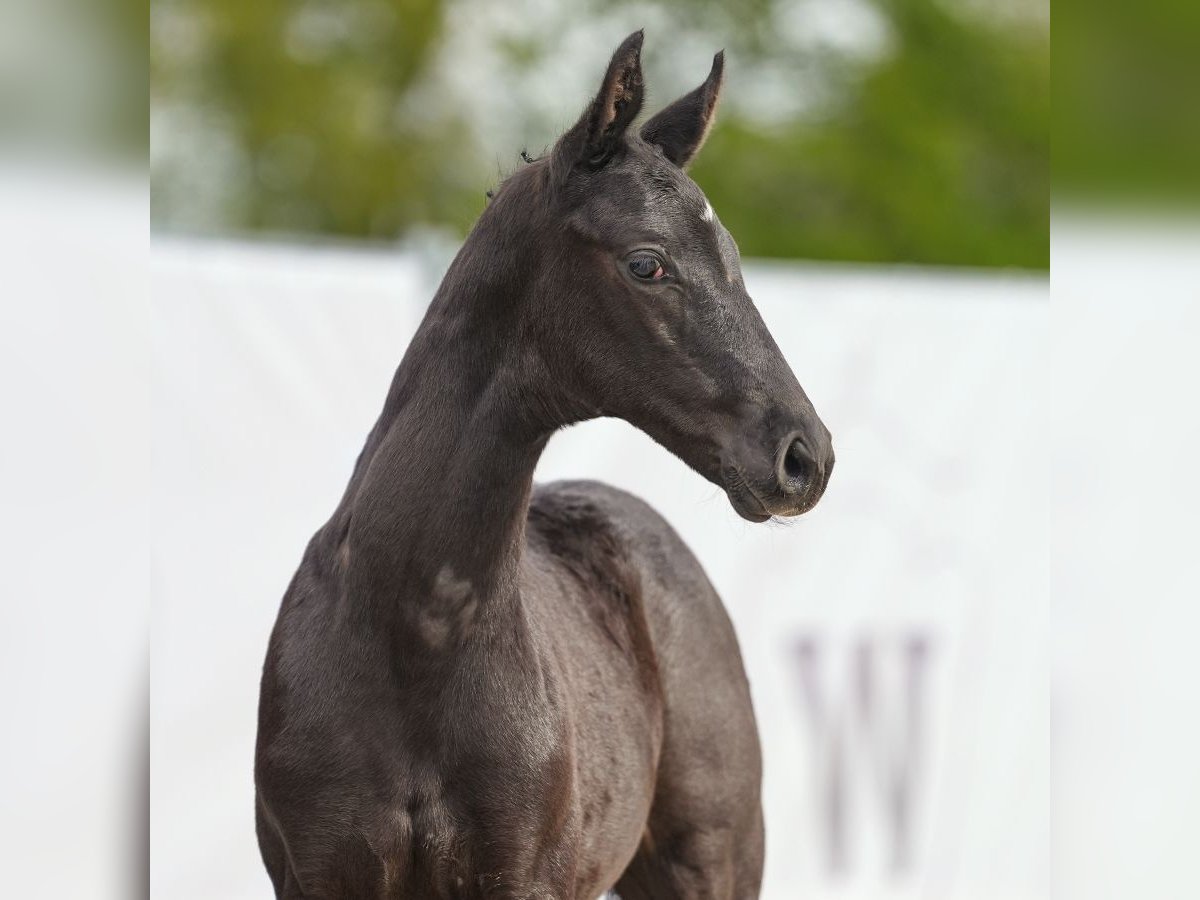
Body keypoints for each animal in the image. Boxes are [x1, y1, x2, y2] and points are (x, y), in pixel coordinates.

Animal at [256, 31, 830, 900]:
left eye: (732, 253)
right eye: (647, 263)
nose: (805, 456)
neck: (407, 637)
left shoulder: (522, 879)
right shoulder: (318, 876)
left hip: (712, 862)